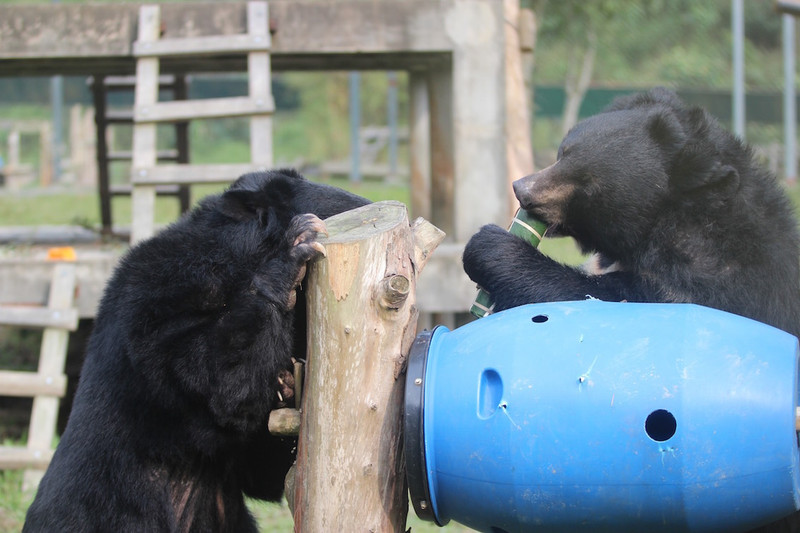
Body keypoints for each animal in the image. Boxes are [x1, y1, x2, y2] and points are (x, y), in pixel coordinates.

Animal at [462, 86, 800, 336]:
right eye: (563, 153)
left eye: (588, 184)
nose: (523, 191)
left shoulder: (708, 280)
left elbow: (598, 298)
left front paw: (489, 247)